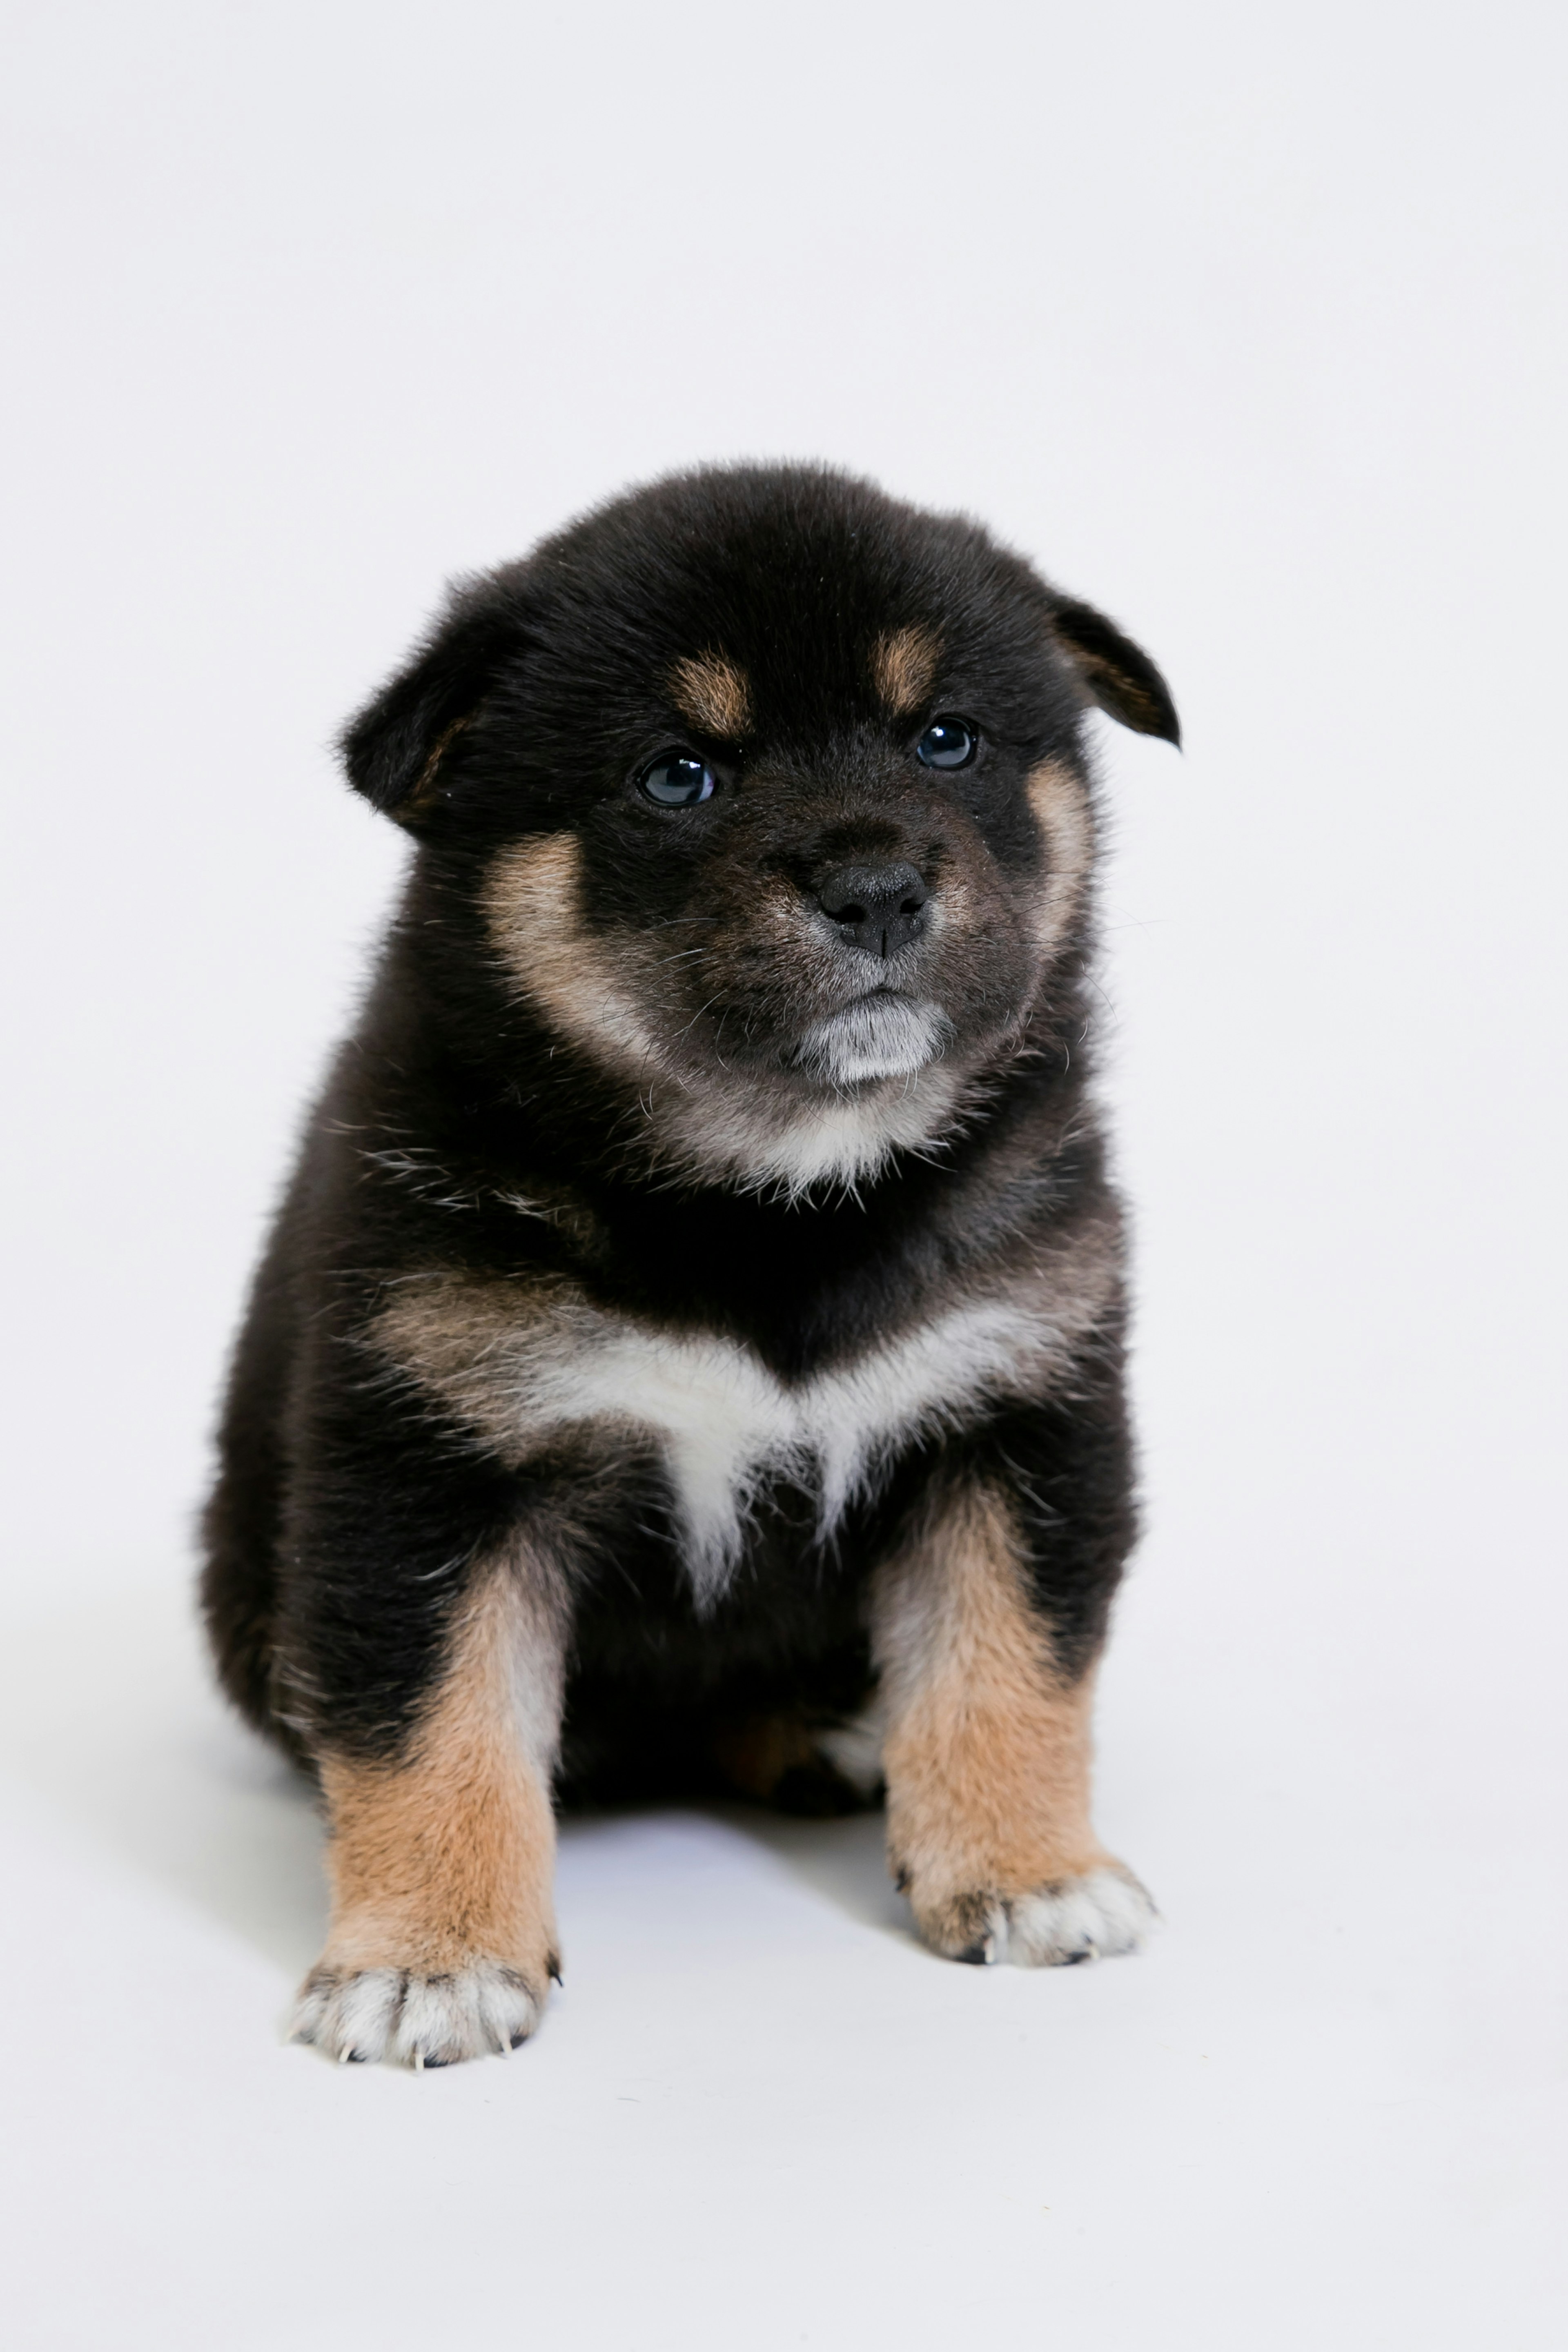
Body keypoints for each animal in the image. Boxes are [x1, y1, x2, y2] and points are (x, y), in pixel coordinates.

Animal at [200, 454, 1175, 2060]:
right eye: (679, 775)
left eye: (946, 737)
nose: (875, 887)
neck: (772, 1207)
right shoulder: (430, 1460)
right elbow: (430, 1722)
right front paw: (428, 1959)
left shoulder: (1014, 1411)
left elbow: (1008, 1665)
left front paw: (1029, 1874)